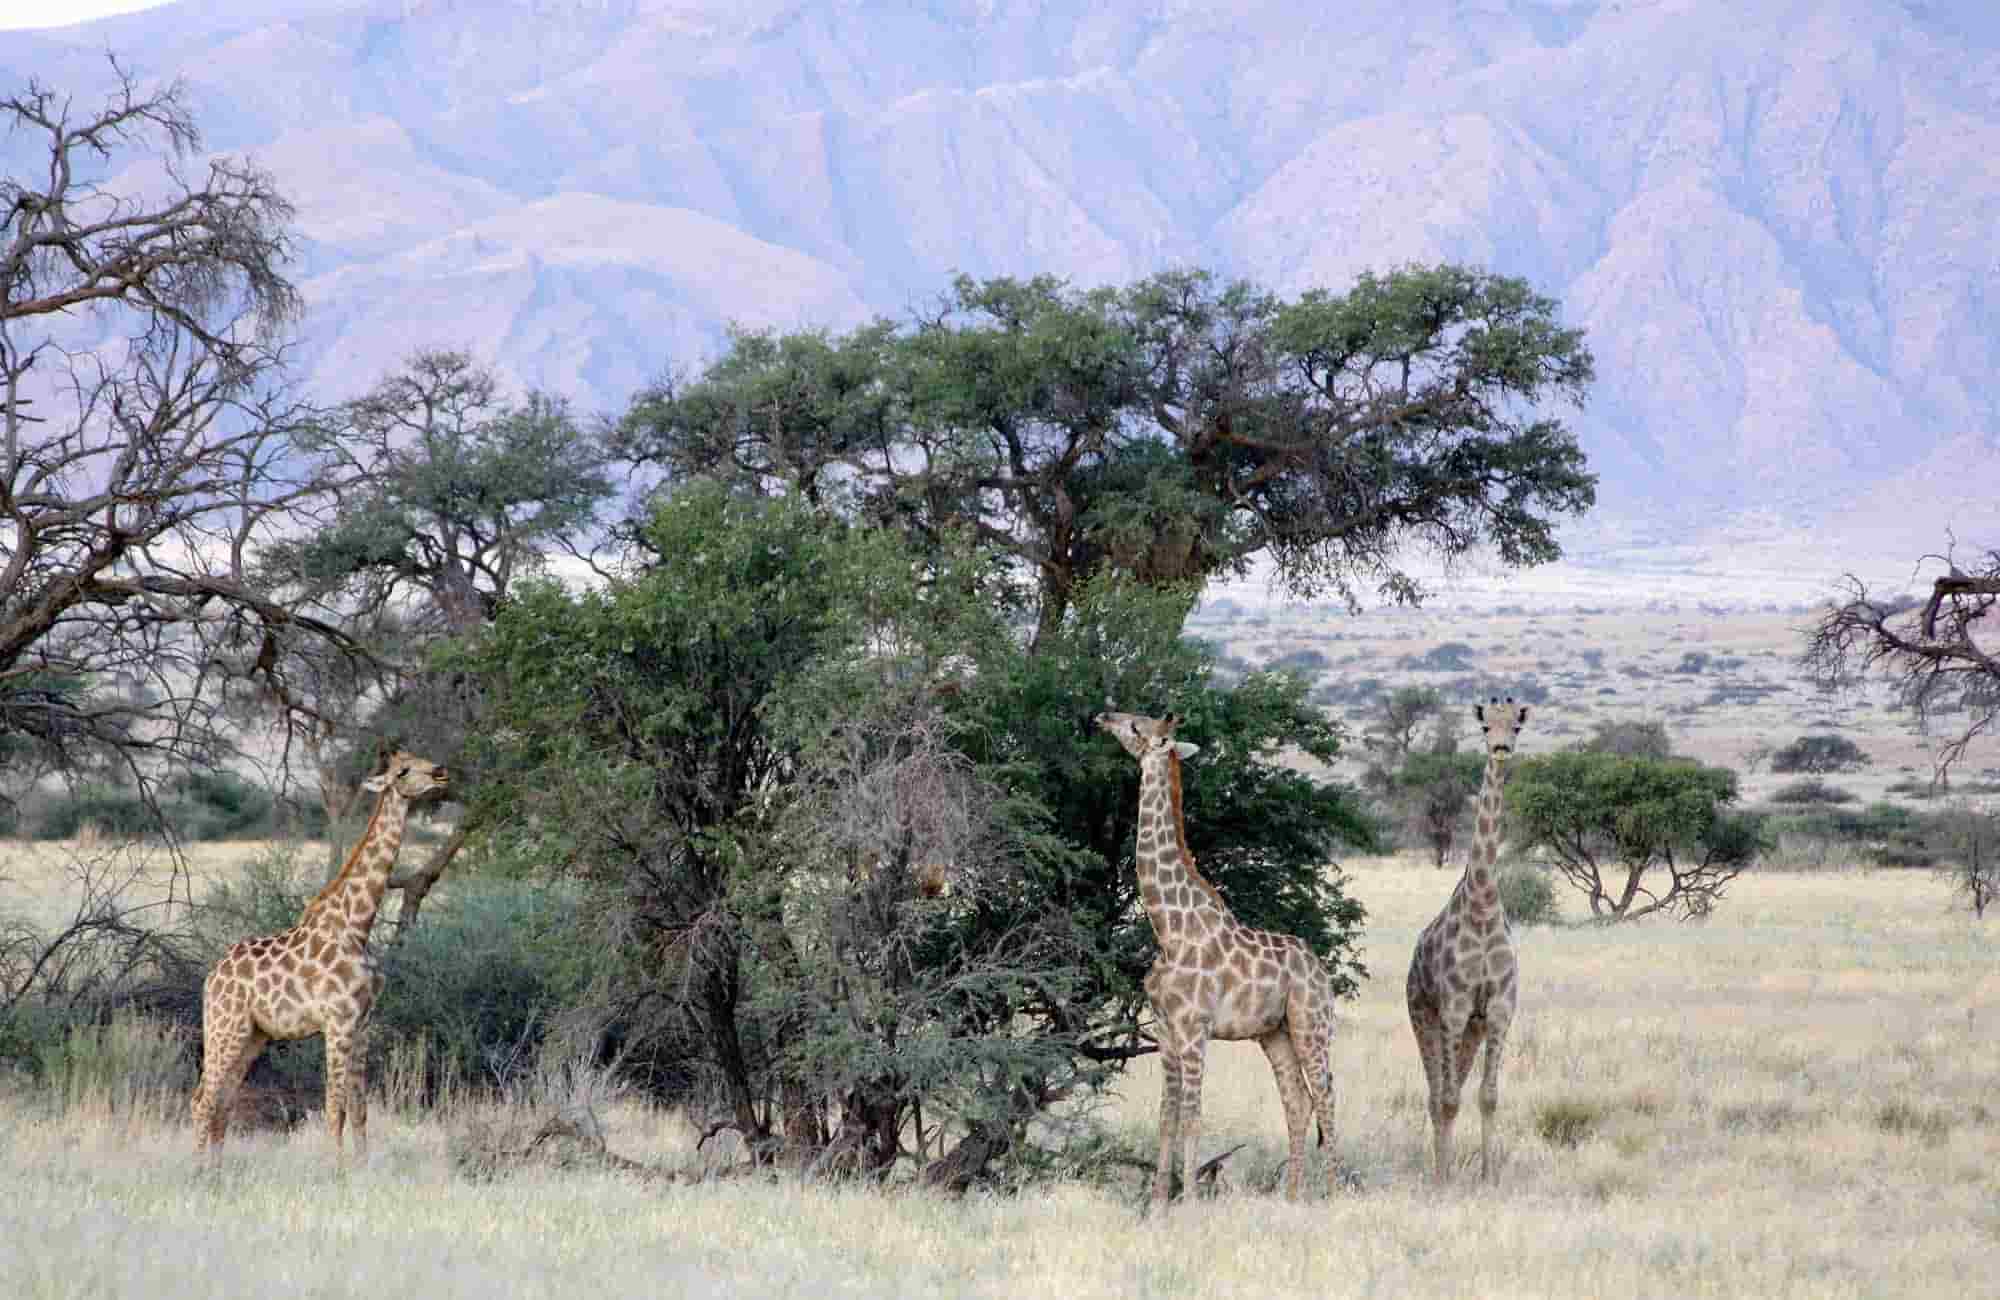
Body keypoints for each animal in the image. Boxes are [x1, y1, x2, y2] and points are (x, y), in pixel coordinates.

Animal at [191, 751, 449, 1158]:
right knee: (203, 1099)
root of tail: (211, 977)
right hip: (225, 1026)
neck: (358, 925)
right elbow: (334, 1107)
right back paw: (196, 1167)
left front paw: (361, 1165)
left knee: (223, 1101)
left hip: (252, 1035)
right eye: (403, 771)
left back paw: (216, 1169)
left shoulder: (362, 1022)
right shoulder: (337, 1021)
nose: (440, 773)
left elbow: (359, 1108)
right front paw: (337, 1167)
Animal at [1095, 710, 1340, 1210]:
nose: (1102, 715)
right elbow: (1167, 1115)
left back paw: (1333, 1192)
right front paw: (1157, 1205)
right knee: (1298, 1100)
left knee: (1325, 1096)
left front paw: (1188, 1200)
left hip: (1311, 1025)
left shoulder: (1194, 1029)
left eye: (1136, 726)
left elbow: (1193, 1113)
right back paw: (1293, 1196)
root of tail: (1322, 972)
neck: (1168, 927)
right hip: (1275, 1034)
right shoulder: (1166, 1031)